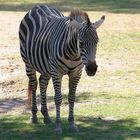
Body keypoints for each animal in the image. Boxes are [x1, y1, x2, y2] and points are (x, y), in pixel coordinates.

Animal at [18, 5, 105, 135]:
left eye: (97, 42)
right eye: (81, 43)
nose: (92, 69)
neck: (74, 54)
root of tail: (38, 6)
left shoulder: (76, 73)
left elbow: (72, 97)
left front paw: (72, 124)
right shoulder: (56, 72)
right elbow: (58, 99)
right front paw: (58, 126)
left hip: (46, 66)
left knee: (42, 83)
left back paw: (46, 116)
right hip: (28, 63)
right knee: (34, 84)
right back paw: (34, 116)